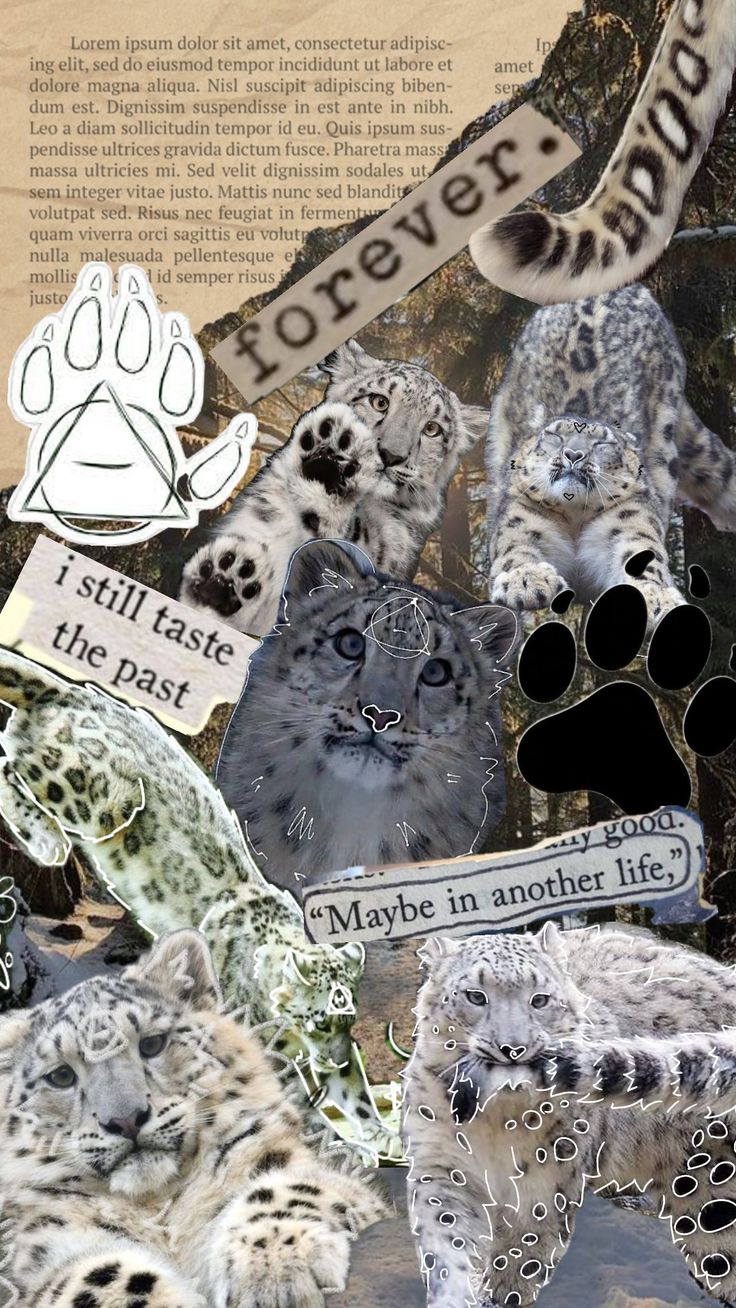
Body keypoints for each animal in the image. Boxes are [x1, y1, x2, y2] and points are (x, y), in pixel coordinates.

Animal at [0, 645, 404, 1162]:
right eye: (318, 1021)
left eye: (347, 1020)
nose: (333, 1061)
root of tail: (72, 692)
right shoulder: (262, 1040)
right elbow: (291, 1097)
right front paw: (341, 1145)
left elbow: (355, 1095)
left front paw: (380, 1132)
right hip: (101, 801)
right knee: (11, 767)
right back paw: (46, 840)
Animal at [0, 928, 387, 1308]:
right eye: (61, 1076)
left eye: (152, 1044)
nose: (126, 1119)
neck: (161, 1208)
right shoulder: (47, 1253)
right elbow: (96, 1276)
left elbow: (293, 1187)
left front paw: (277, 1269)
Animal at [402, 921, 736, 1308]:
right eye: (475, 996)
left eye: (540, 999)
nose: (512, 1048)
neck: (494, 1123)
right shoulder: (441, 1163)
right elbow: (446, 1243)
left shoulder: (543, 1186)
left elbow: (519, 1259)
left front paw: (498, 1294)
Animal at [486, 283, 736, 626]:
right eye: (555, 435)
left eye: (602, 444)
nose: (573, 454)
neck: (574, 518)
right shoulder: (522, 515)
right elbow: (516, 546)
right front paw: (527, 579)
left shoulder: (629, 518)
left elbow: (643, 555)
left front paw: (658, 598)